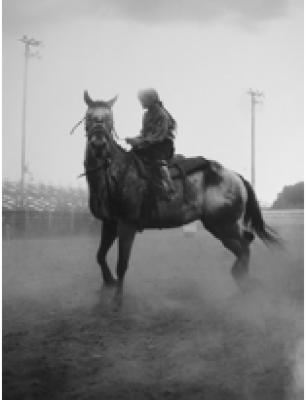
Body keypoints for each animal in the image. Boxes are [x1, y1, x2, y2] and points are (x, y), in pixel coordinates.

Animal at [78, 90, 280, 300]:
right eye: (88, 116)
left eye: (110, 118)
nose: (99, 143)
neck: (116, 173)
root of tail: (235, 176)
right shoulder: (109, 223)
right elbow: (100, 256)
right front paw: (108, 282)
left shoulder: (127, 225)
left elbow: (122, 265)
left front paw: (118, 300)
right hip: (219, 226)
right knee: (244, 245)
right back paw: (244, 283)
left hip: (224, 225)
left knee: (245, 245)